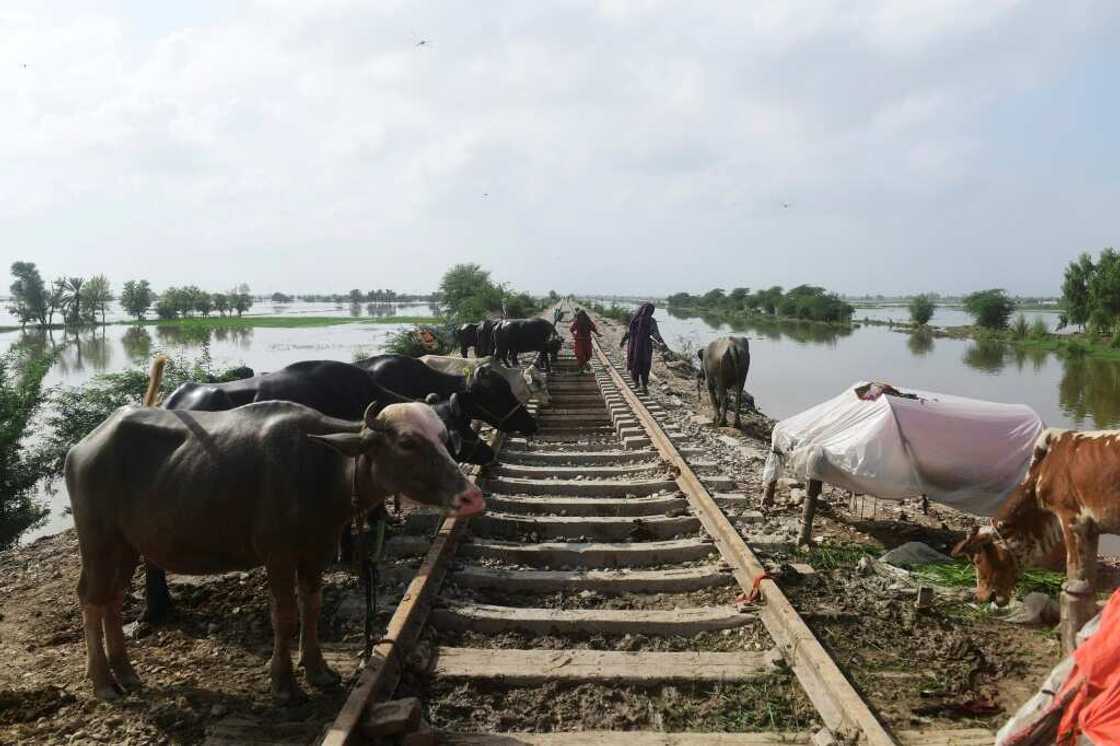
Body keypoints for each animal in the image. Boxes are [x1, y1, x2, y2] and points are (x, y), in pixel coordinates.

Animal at [65, 398, 483, 698]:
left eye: (444, 437)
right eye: (407, 442)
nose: (472, 497)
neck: (322, 467)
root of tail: (81, 448)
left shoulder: (317, 550)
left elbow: (311, 606)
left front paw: (318, 670)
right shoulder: (277, 555)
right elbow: (283, 614)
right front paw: (283, 682)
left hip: (126, 547)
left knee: (112, 599)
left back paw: (126, 672)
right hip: (97, 542)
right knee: (90, 597)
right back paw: (102, 681)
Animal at [949, 427, 1115, 631]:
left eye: (977, 561)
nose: (980, 597)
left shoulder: (1072, 519)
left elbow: (1074, 576)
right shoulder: (1091, 529)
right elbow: (1087, 578)